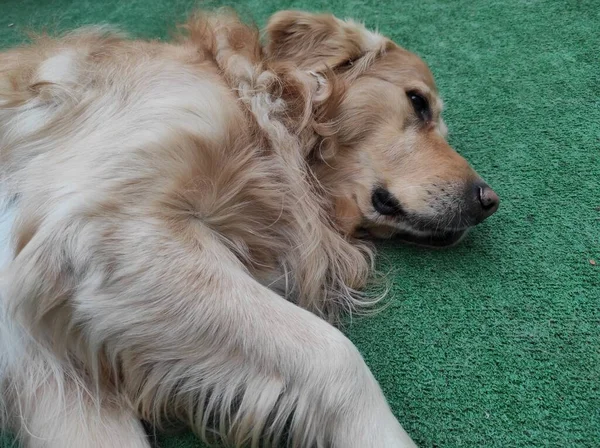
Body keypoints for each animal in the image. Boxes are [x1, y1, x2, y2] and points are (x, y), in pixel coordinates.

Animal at [0, 9, 496, 448]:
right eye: (418, 102)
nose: (488, 201)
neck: (260, 108)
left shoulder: (49, 360)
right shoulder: (104, 230)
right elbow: (334, 353)